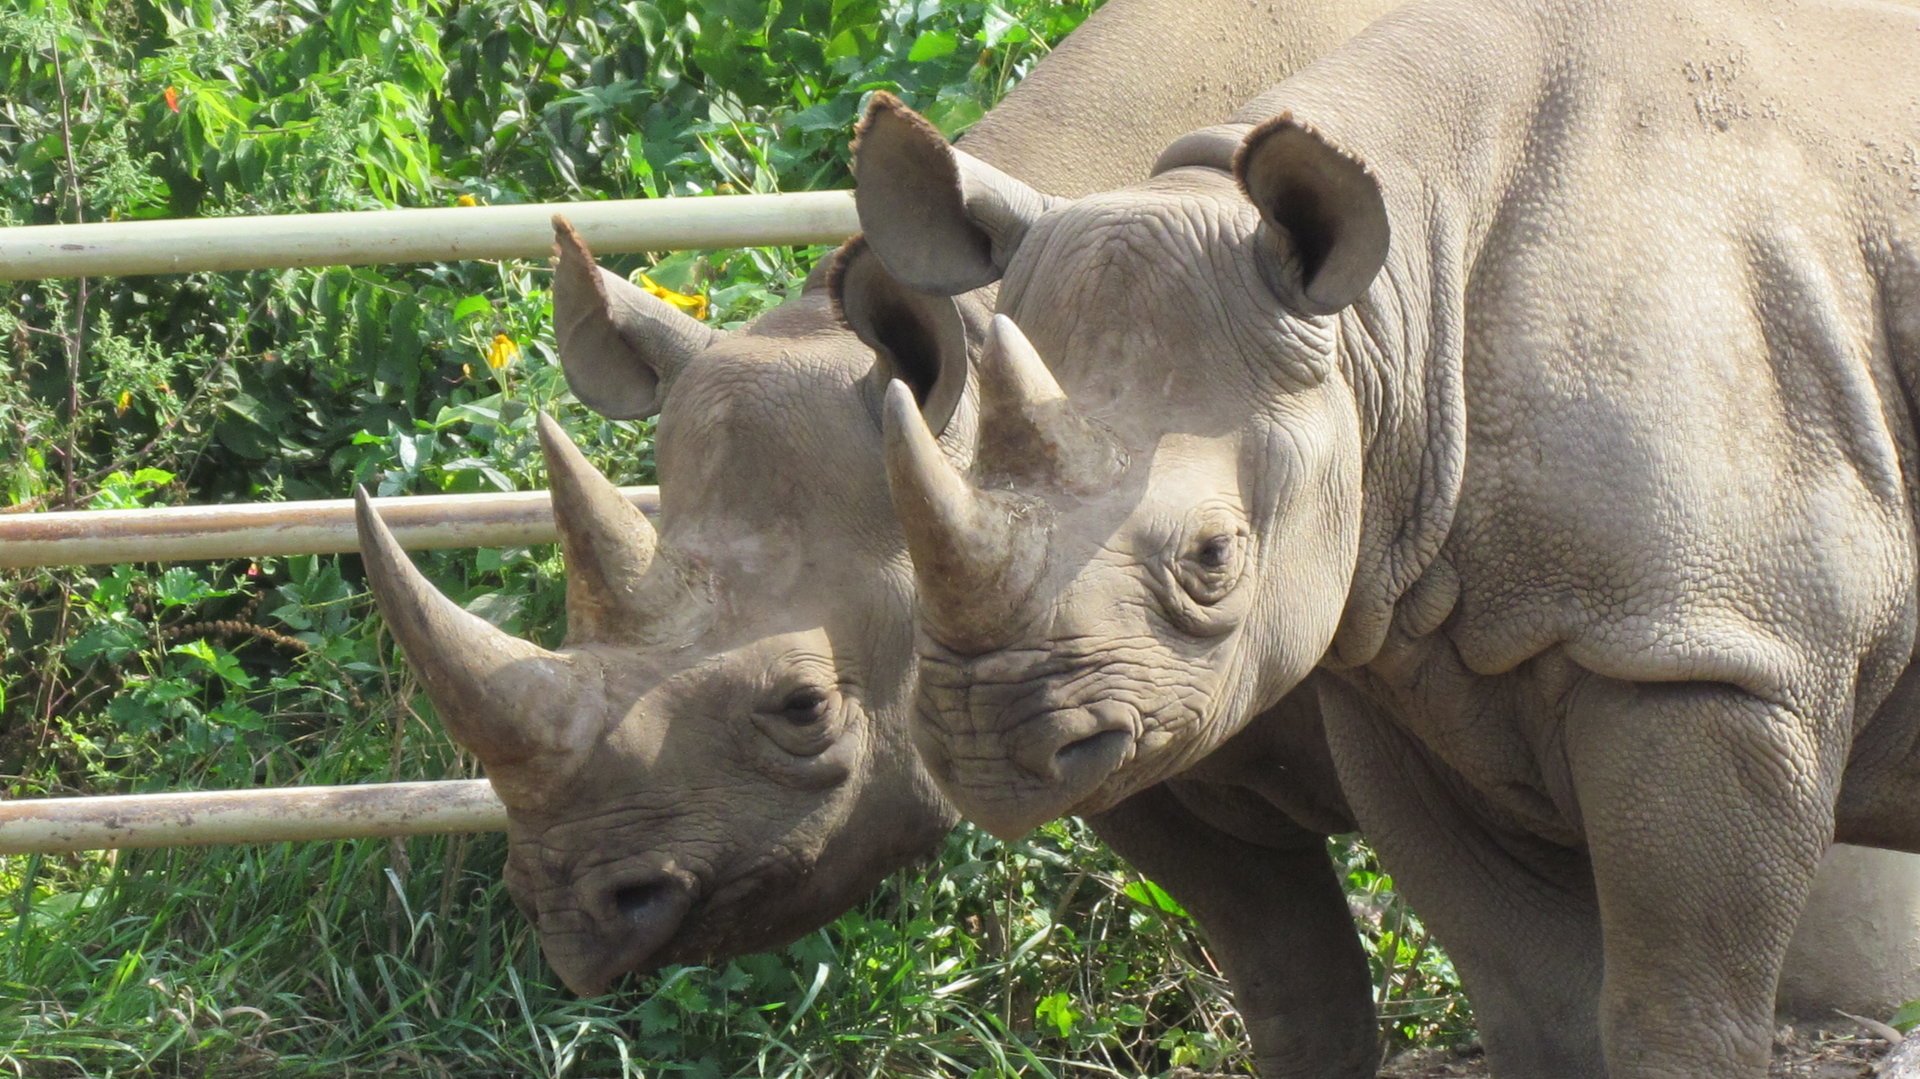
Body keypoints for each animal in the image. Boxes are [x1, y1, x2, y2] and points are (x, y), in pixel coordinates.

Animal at [846, 0, 1920, 1074]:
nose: (986, 747)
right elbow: (1536, 997)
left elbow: (1679, 1010)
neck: (1392, 309)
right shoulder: (1405, 669)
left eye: (1213, 558)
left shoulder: (1711, 646)